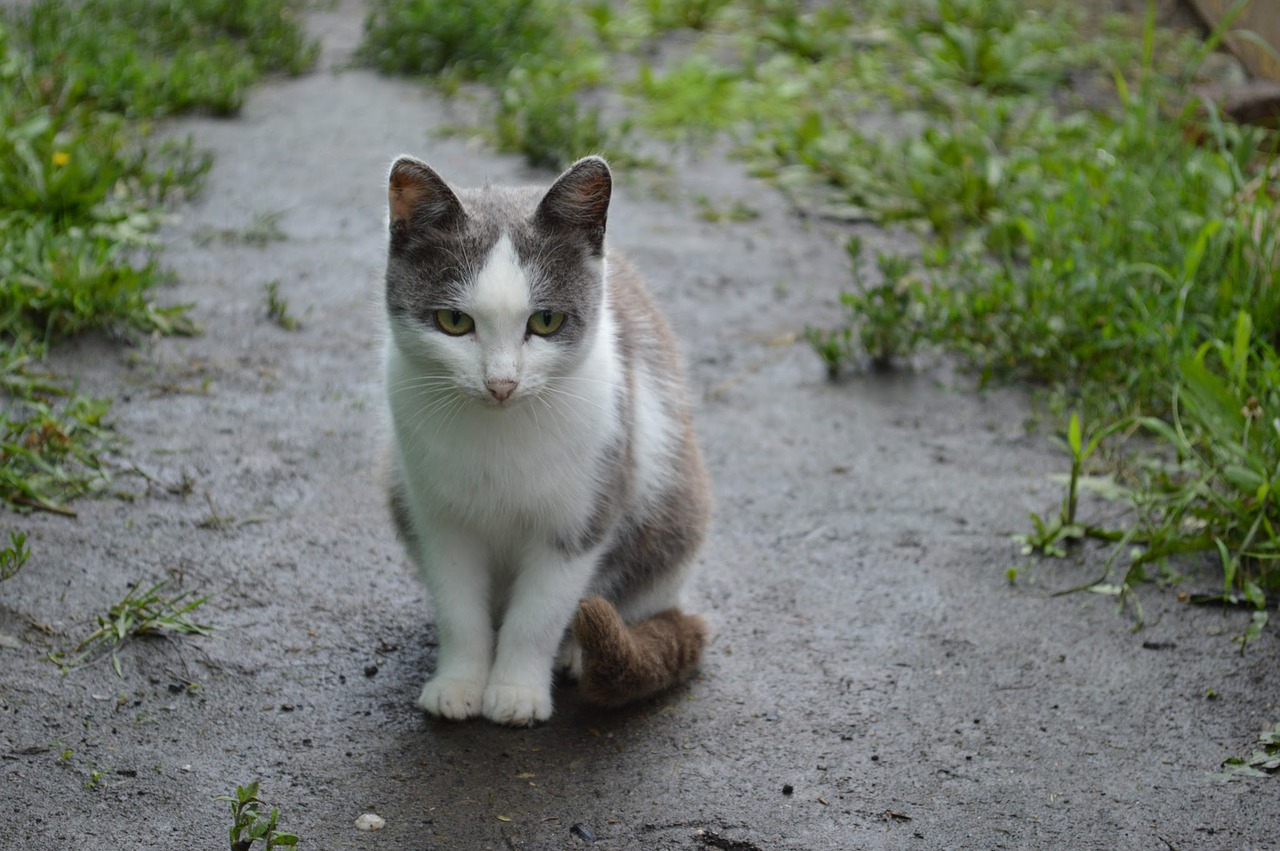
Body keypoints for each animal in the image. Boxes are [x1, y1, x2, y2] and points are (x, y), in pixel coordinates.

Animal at [384, 152, 716, 721]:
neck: (499, 433)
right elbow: (458, 607)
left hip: (673, 523)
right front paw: (459, 682)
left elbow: (538, 615)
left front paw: (516, 690)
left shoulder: (582, 514)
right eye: (453, 321)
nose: (501, 383)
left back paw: (580, 651)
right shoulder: (438, 518)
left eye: (545, 320)